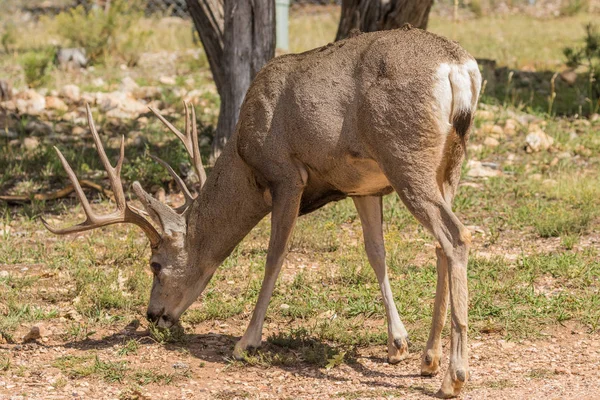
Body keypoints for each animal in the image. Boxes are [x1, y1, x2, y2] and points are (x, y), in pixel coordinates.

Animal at [42, 26, 480, 398]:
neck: (245, 159)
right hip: (446, 165)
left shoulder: (285, 174)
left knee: (456, 235)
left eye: (154, 264)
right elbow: (377, 254)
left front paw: (245, 341)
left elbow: (275, 256)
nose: (154, 315)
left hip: (404, 155)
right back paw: (430, 359)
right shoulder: (362, 186)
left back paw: (454, 377)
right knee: (442, 245)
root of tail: (458, 67)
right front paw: (397, 344)